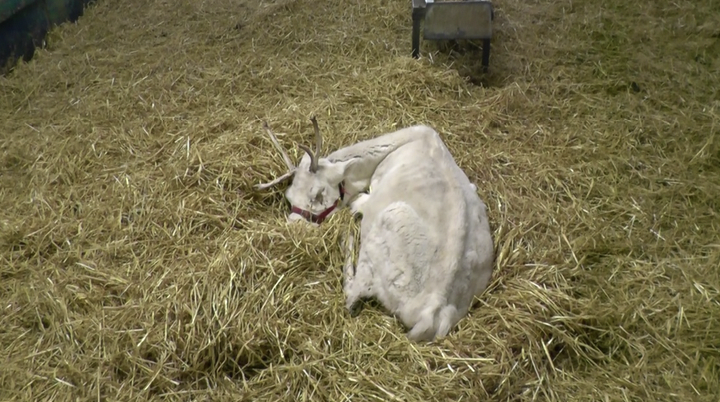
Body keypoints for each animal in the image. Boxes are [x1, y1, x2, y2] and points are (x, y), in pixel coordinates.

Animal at [256, 118, 498, 340]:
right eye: (289, 197)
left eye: (318, 194)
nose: (295, 228)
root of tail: (432, 311)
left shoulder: (366, 199)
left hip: (383, 231)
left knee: (352, 294)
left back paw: (347, 238)